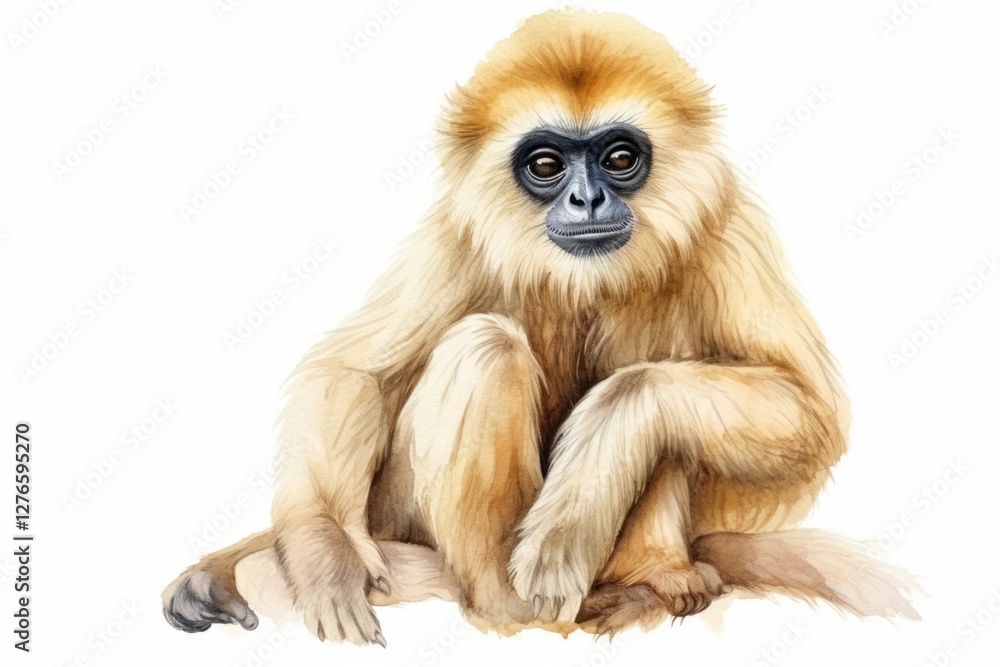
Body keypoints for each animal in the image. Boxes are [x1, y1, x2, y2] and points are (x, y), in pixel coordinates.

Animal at [163, 10, 917, 645]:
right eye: (548, 165)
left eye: (619, 158)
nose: (586, 199)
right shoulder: (461, 229)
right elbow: (355, 372)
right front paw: (328, 557)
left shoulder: (727, 215)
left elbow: (803, 409)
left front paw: (575, 509)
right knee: (485, 344)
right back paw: (503, 606)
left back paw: (653, 571)